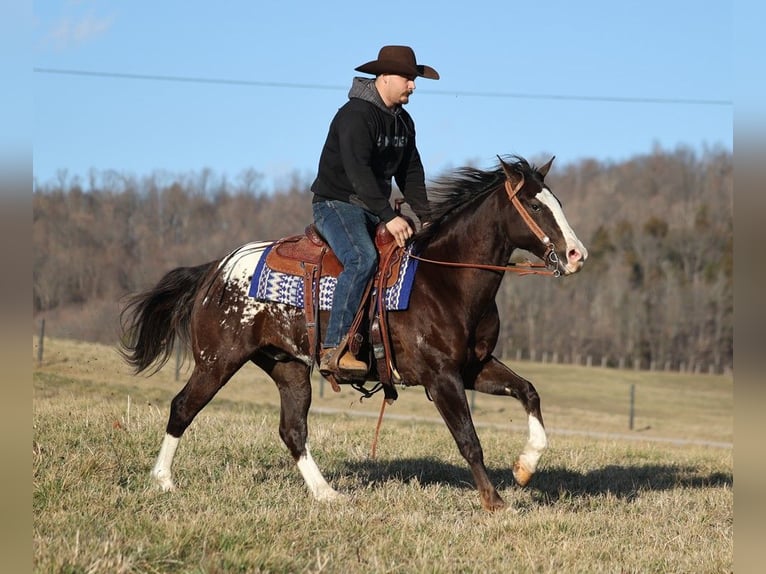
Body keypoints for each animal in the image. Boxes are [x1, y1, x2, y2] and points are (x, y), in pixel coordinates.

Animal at [120, 154, 588, 512]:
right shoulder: (441, 378)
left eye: (558, 201)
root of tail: (215, 269)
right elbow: (469, 440)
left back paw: (327, 494)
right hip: (218, 360)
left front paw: (525, 467)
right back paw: (162, 480)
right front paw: (493, 501)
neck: (445, 279)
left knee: (293, 431)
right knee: (183, 407)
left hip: (289, 368)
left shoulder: (475, 368)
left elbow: (528, 392)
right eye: (535, 205)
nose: (575, 254)